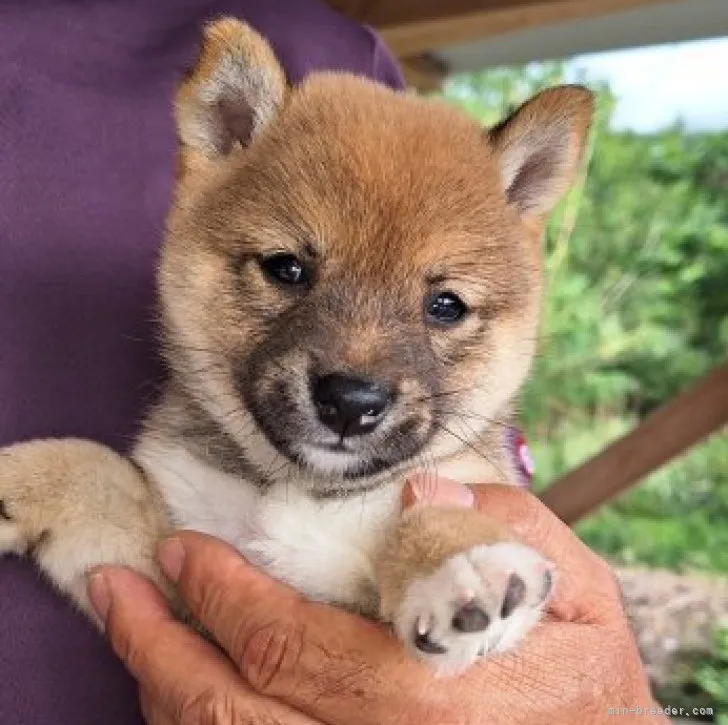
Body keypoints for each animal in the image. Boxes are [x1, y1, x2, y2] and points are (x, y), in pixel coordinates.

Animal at [0, 19, 592, 672]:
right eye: (286, 269)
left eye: (445, 306)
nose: (351, 403)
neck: (294, 490)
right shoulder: (171, 552)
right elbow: (89, 464)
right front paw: (10, 484)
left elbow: (428, 517)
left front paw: (462, 568)